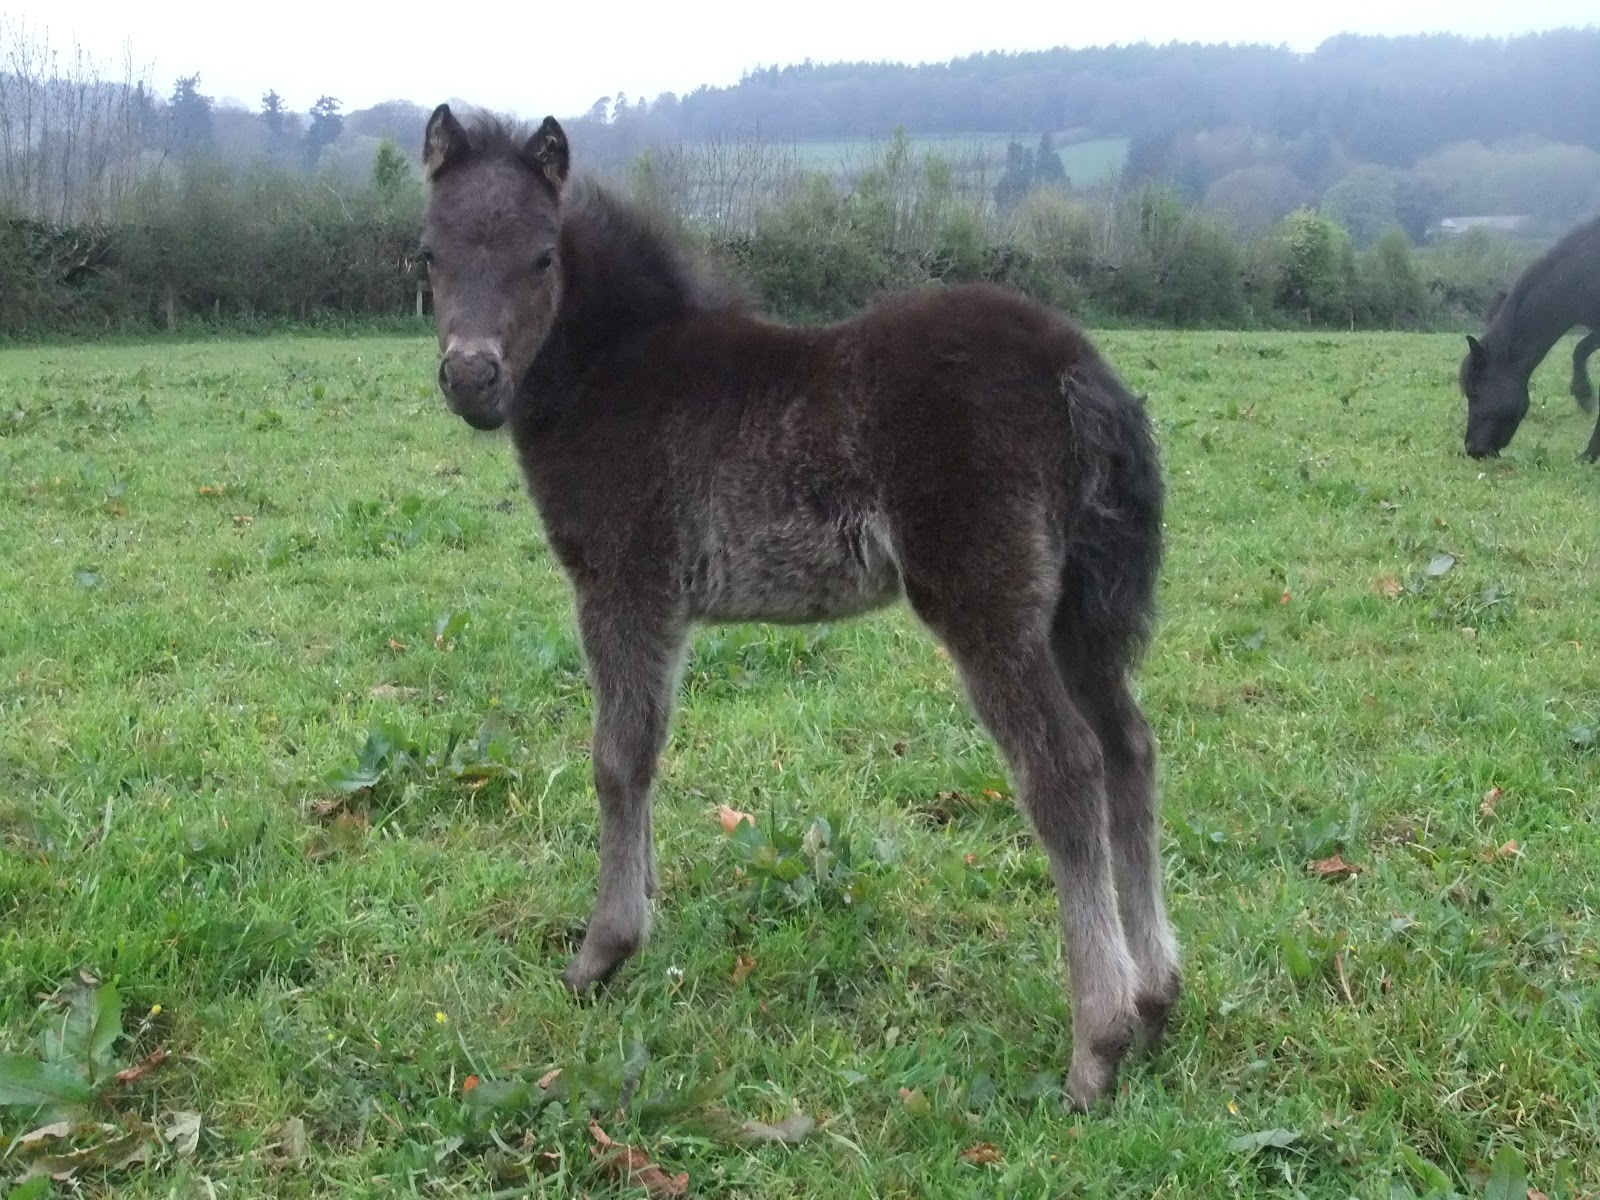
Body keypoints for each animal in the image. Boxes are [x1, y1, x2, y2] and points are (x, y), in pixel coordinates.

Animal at [416, 104, 1179, 1110]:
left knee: (1065, 770)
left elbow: (617, 759)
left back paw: (1098, 1045)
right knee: (1130, 750)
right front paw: (639, 918)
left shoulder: (624, 585)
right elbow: (648, 752)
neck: (617, 373)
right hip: (1076, 614)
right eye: (428, 254)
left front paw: (601, 954)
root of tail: (1077, 367)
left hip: (988, 603)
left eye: (543, 257)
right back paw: (1158, 998)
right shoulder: (667, 609)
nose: (472, 379)